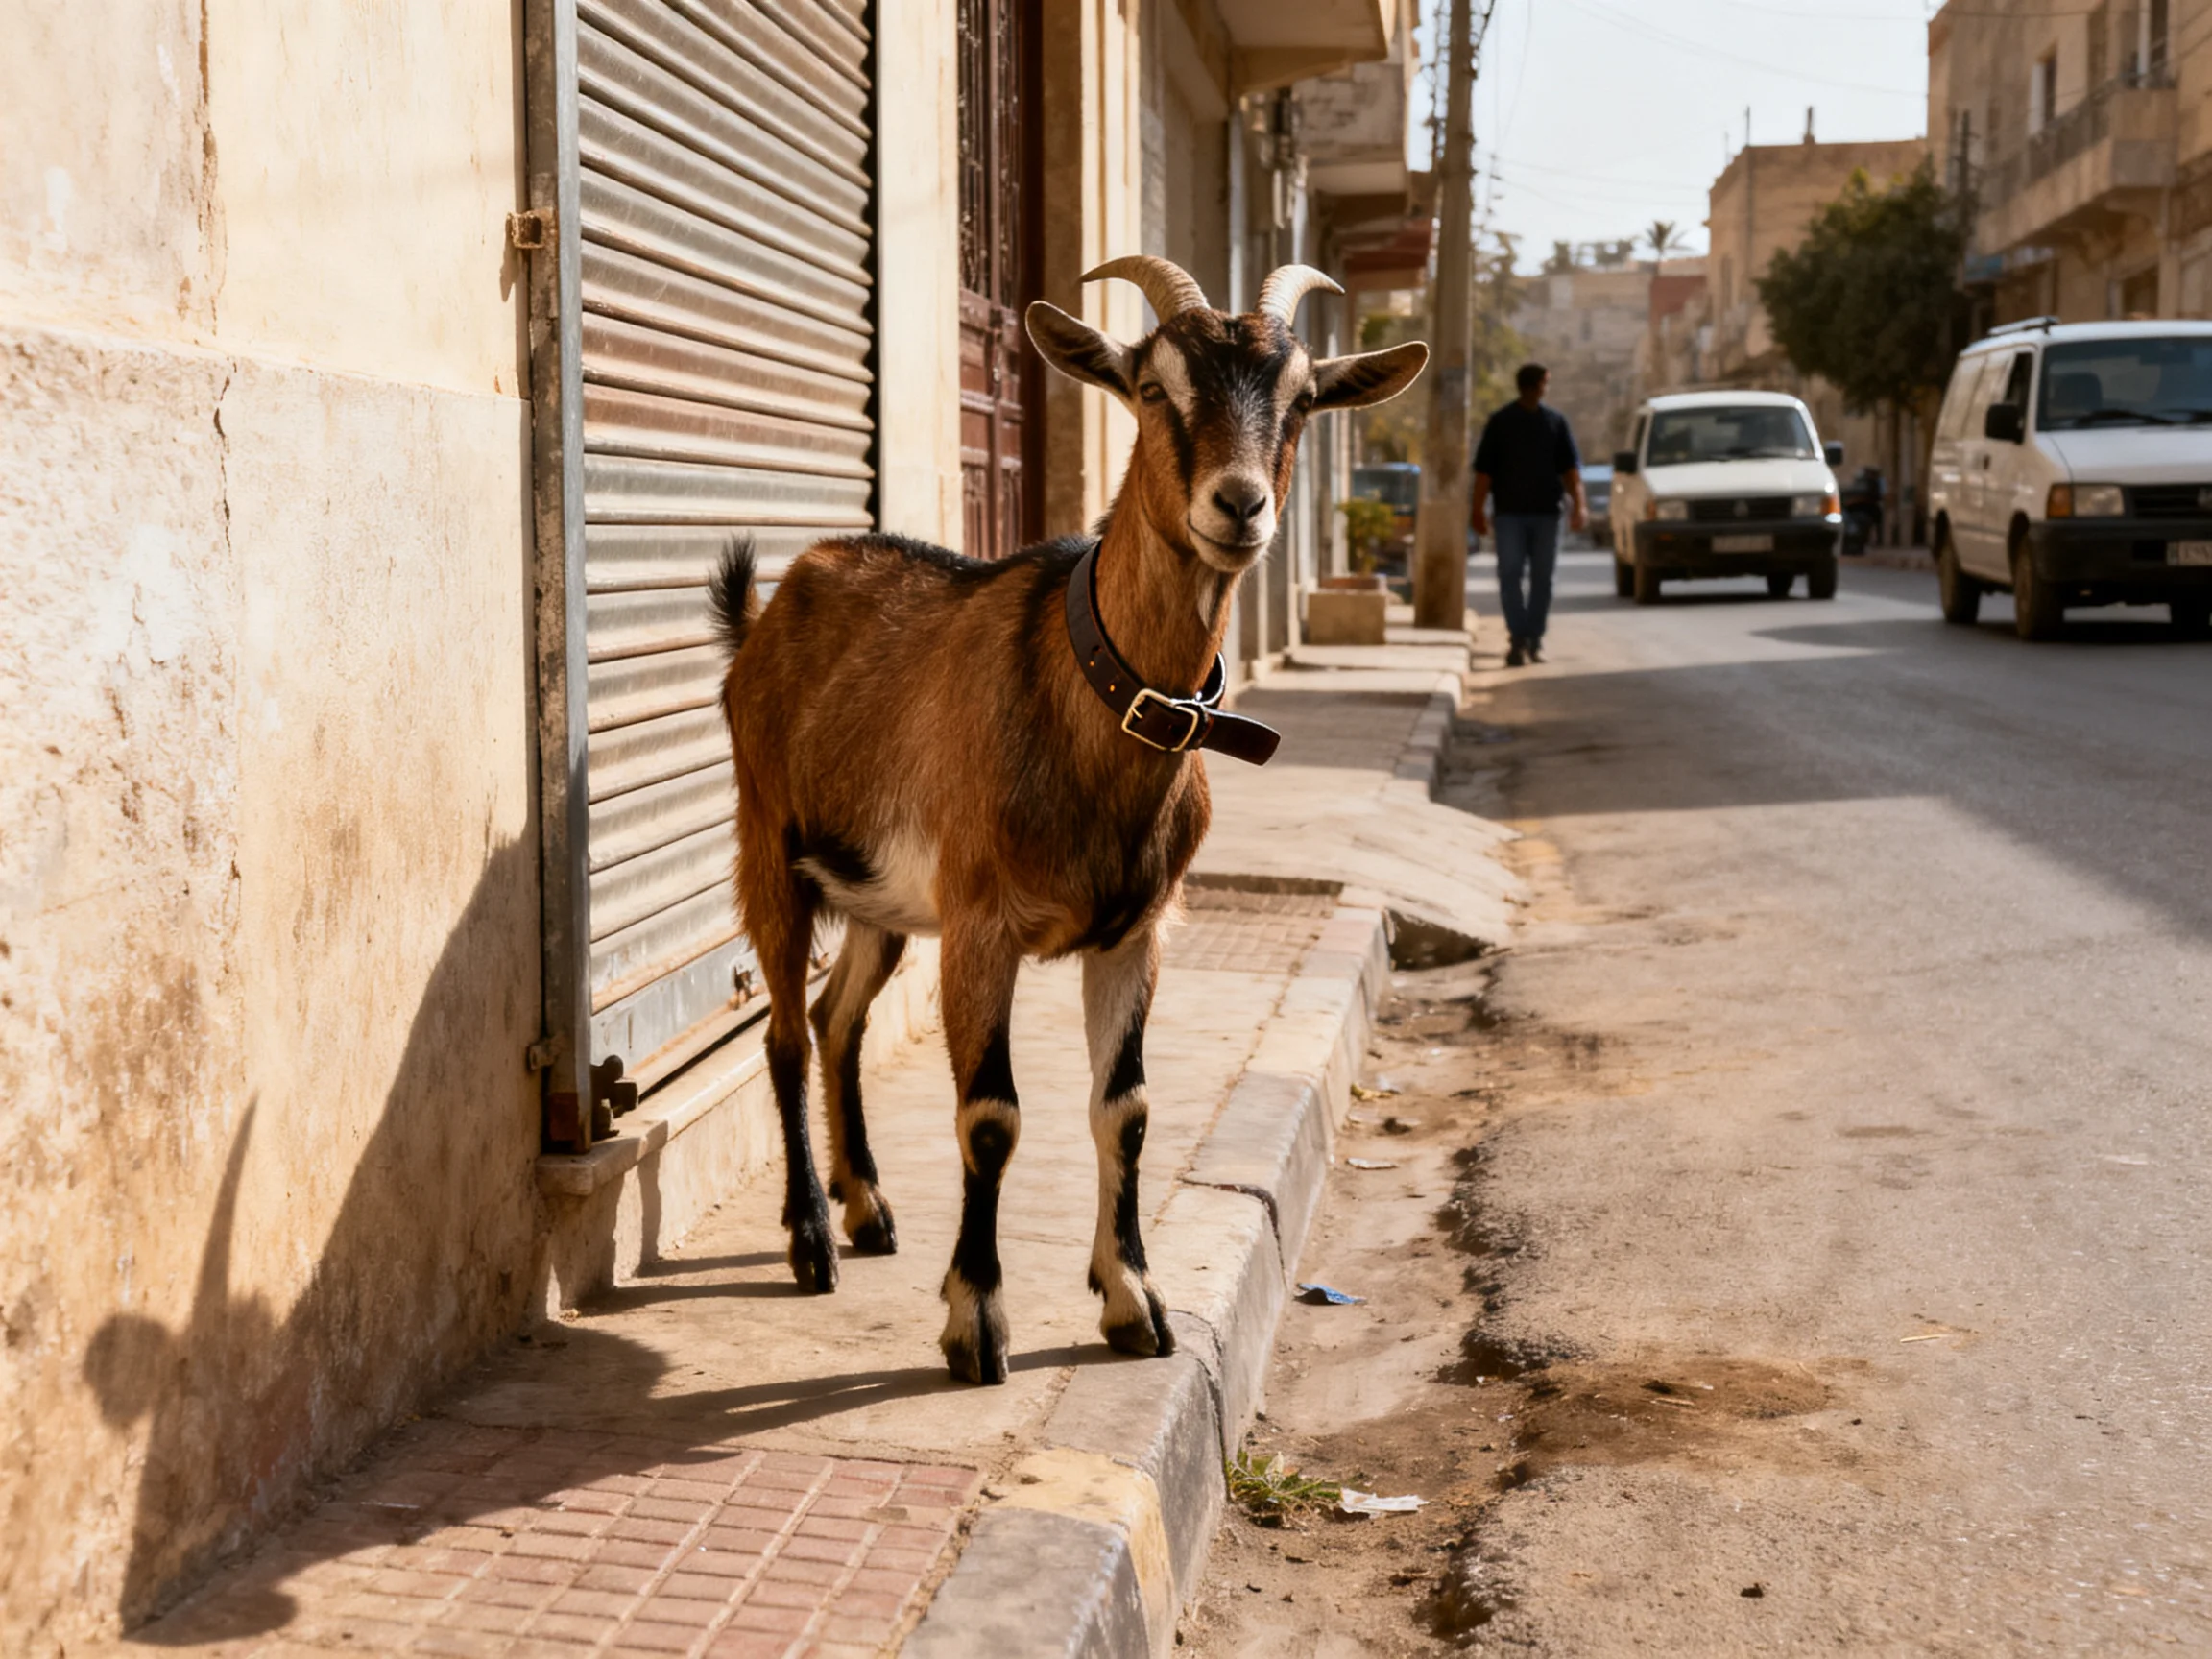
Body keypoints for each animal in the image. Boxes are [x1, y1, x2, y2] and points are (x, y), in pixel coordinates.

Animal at [709, 257, 1427, 1383]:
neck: (1087, 690)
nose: (1239, 505)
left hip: (879, 897)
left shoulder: (1134, 931)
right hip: (769, 844)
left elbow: (1124, 1108)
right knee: (783, 1033)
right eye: (1151, 388)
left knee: (837, 1020)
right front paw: (976, 1321)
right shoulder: (981, 924)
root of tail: (774, 607)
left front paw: (1132, 1299)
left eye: (1304, 397)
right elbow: (991, 1116)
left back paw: (868, 1207)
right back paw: (812, 1240)